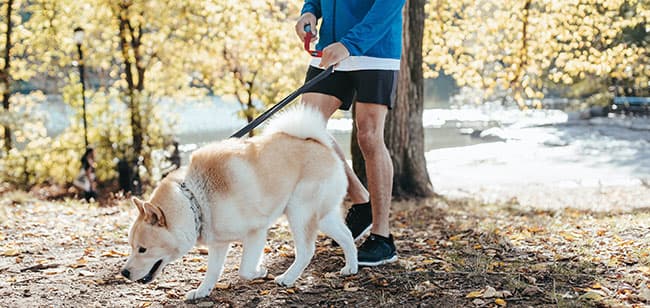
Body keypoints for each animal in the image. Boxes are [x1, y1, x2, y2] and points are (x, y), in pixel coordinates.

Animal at [119, 104, 356, 300]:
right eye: (131, 246)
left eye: (142, 249)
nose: (124, 272)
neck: (195, 200)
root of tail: (319, 143)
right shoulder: (218, 243)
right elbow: (212, 272)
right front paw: (202, 291)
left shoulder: (256, 232)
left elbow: (244, 271)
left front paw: (260, 271)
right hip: (323, 217)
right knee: (347, 237)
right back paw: (351, 267)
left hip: (299, 213)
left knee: (306, 251)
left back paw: (287, 278)